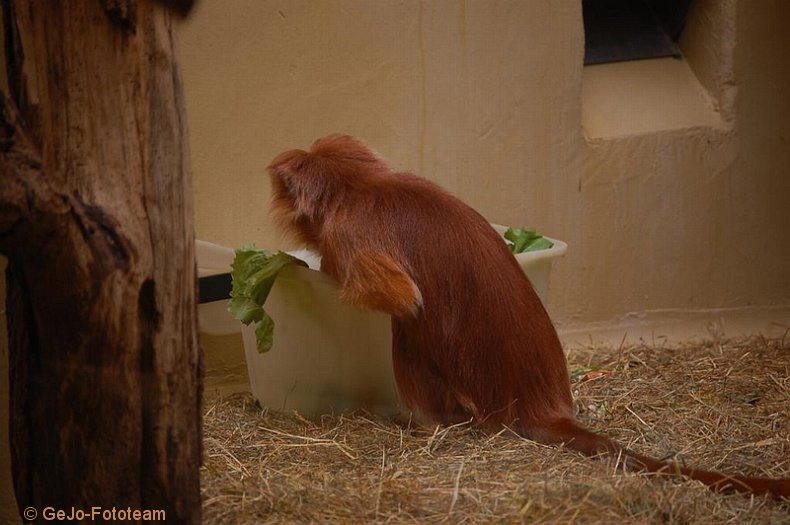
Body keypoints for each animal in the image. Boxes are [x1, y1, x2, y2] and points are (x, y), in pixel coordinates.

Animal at [270, 133, 790, 498]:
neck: (366, 184)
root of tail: (541, 404)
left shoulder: (350, 234)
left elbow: (402, 298)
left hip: (472, 391)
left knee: (411, 329)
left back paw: (425, 423)